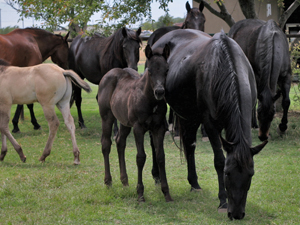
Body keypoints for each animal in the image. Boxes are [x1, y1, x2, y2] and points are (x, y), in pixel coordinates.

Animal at [97, 44, 172, 202]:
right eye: (149, 70)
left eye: (166, 70)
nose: (159, 92)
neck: (150, 100)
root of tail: (108, 74)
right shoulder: (138, 128)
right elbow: (140, 157)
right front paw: (140, 194)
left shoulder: (159, 128)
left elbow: (160, 156)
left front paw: (166, 193)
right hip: (107, 116)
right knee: (106, 143)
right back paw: (108, 182)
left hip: (124, 121)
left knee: (120, 142)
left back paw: (124, 181)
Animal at [151, 28, 268, 220]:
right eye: (227, 173)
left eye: (251, 174)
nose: (237, 214)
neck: (224, 67)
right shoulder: (210, 125)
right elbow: (219, 160)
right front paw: (223, 201)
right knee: (154, 142)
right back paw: (156, 176)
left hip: (190, 117)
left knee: (189, 145)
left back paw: (194, 184)